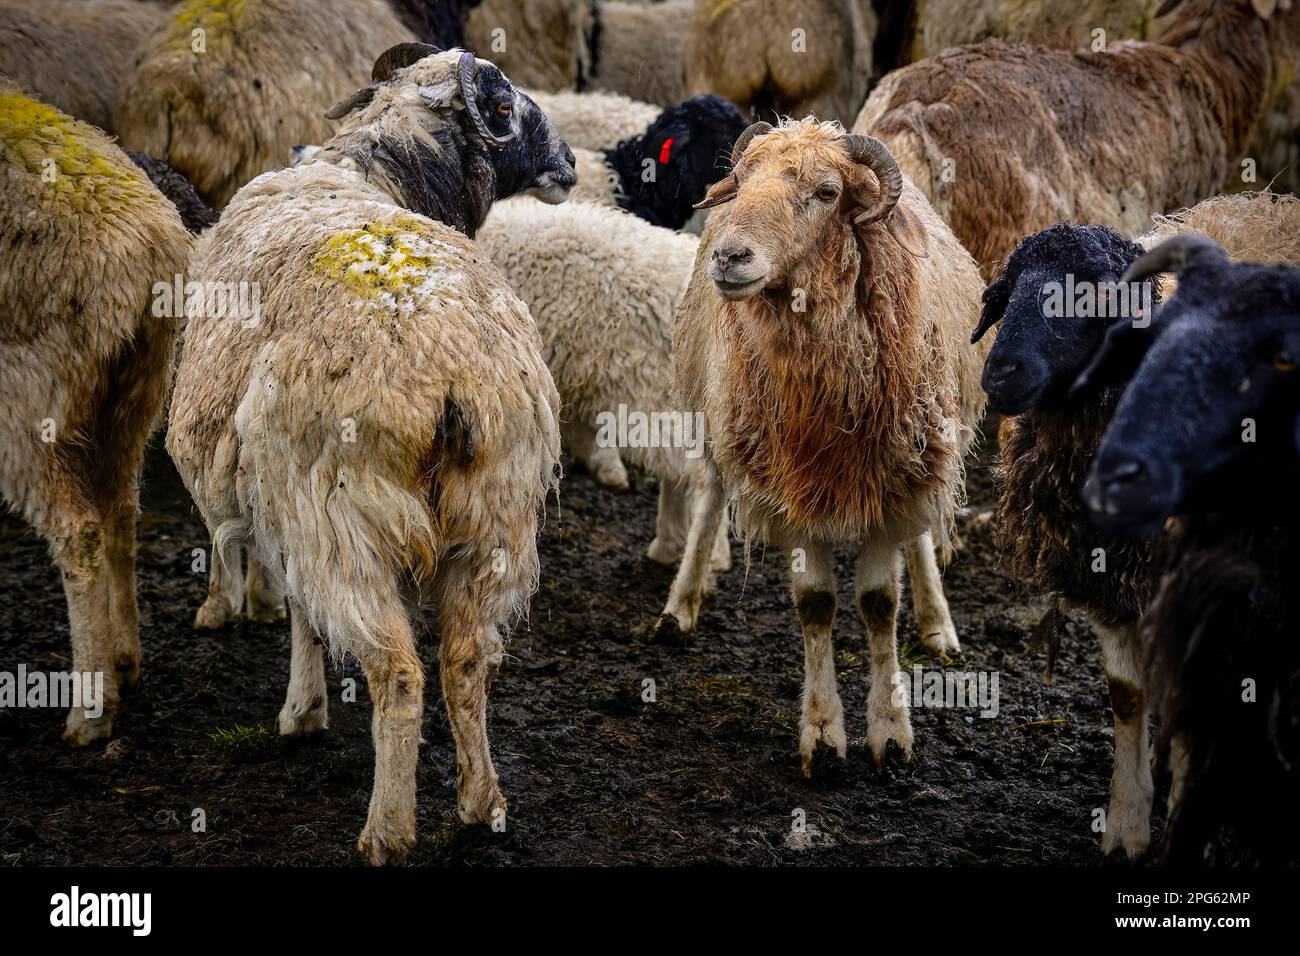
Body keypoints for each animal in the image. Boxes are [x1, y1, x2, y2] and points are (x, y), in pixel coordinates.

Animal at [0, 80, 192, 744]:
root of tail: (147, 243)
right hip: (136, 391)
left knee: (78, 531)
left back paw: (90, 709)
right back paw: (124, 661)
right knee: (121, 511)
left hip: (29, 399)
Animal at [166, 44, 576, 863]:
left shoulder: (285, 502)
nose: (573, 162)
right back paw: (481, 802)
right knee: (465, 660)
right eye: (506, 108)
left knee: (398, 671)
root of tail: (448, 373)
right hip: (498, 512)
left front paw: (300, 712)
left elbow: (298, 611)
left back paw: (386, 830)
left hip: (342, 518)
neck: (369, 168)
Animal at [661, 118, 988, 774]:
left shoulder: (896, 480)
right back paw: (680, 604)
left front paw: (891, 731)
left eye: (827, 193)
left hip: (925, 451)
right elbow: (815, 602)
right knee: (710, 496)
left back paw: (937, 625)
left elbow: (879, 602)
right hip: (721, 419)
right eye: (741, 182)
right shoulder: (790, 484)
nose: (729, 257)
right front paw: (823, 734)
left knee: (920, 539)